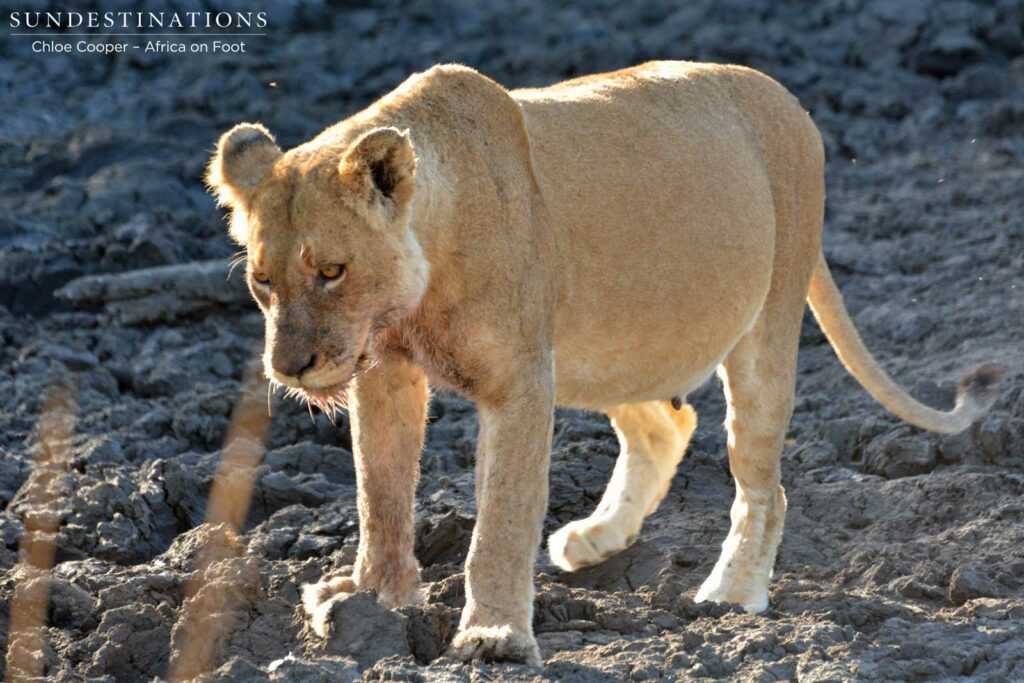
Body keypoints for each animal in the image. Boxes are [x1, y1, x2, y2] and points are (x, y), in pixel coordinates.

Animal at [207, 62, 1003, 666]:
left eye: (331, 271)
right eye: (263, 281)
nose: (291, 367)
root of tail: (787, 98)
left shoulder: (521, 381)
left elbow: (501, 517)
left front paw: (493, 634)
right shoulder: (385, 371)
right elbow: (382, 491)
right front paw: (368, 597)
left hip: (764, 323)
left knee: (761, 483)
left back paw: (731, 594)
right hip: (606, 342)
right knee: (666, 425)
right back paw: (596, 539)